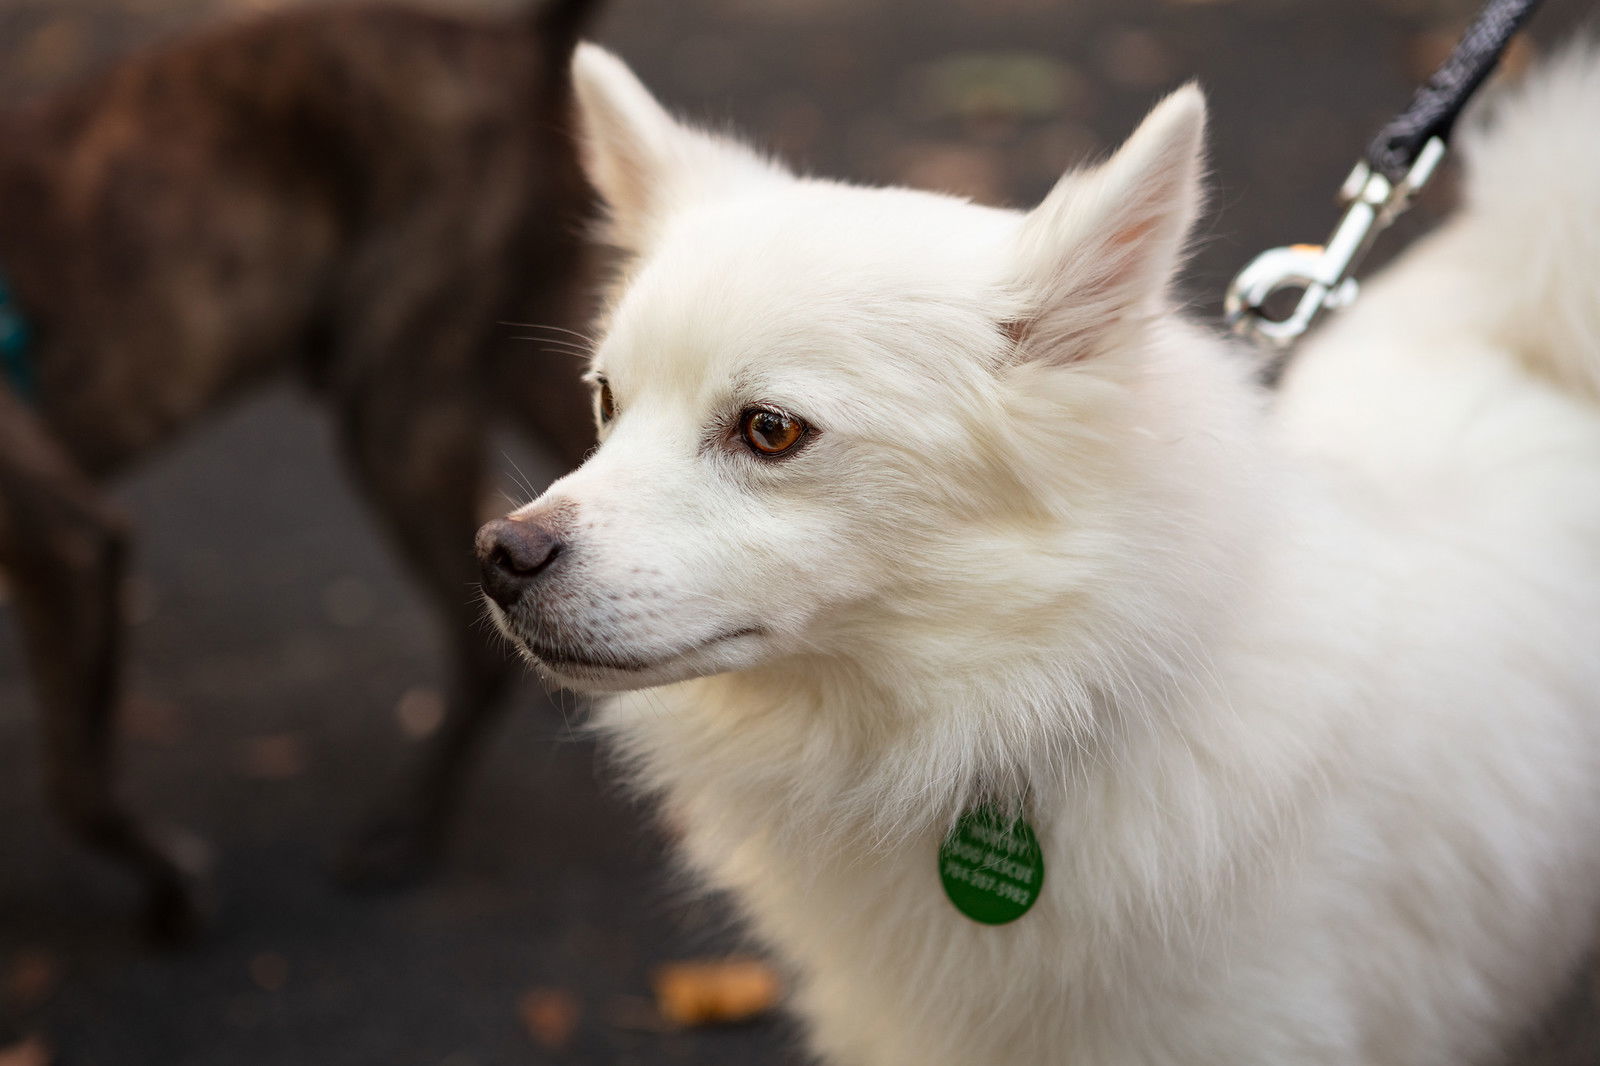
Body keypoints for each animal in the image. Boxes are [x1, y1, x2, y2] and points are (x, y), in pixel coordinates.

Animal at [0, 0, 601, 934]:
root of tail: (510, 45)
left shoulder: (63, 538)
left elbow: (74, 784)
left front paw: (172, 885)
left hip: (393, 409)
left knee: (480, 653)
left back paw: (403, 833)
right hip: (528, 361)